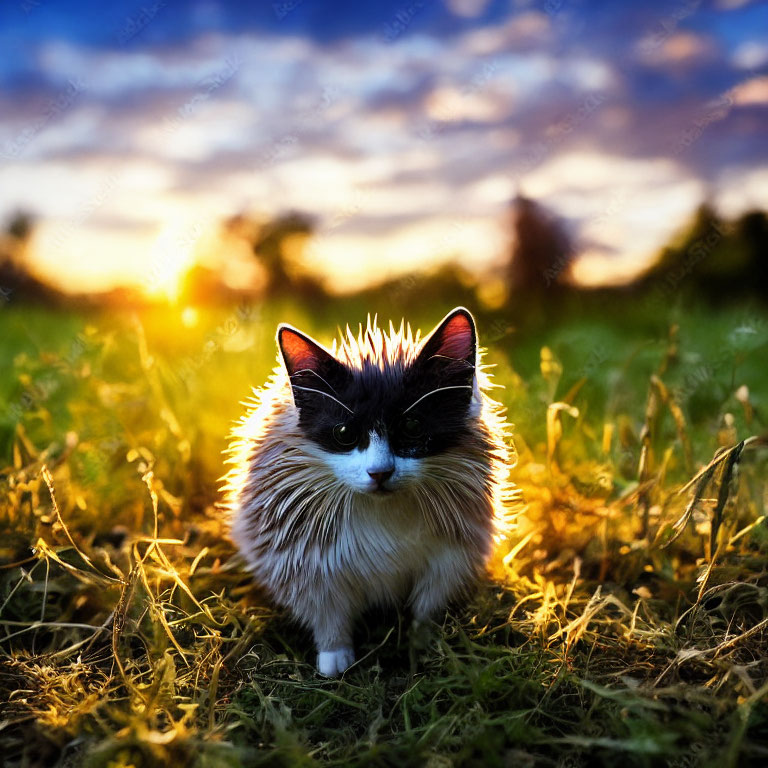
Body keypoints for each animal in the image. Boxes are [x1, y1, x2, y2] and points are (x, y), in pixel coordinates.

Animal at [225, 308, 512, 680]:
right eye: (344, 432)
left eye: (413, 427)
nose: (380, 473)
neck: (383, 513)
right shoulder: (305, 563)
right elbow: (327, 615)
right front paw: (334, 657)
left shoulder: (449, 560)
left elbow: (426, 609)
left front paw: (422, 645)